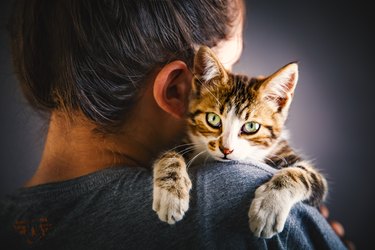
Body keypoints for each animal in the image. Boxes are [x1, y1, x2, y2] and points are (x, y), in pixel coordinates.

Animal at [153, 45, 328, 238]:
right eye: (213, 119)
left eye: (251, 126)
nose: (226, 149)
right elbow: (170, 154)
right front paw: (170, 193)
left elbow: (303, 175)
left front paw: (268, 207)